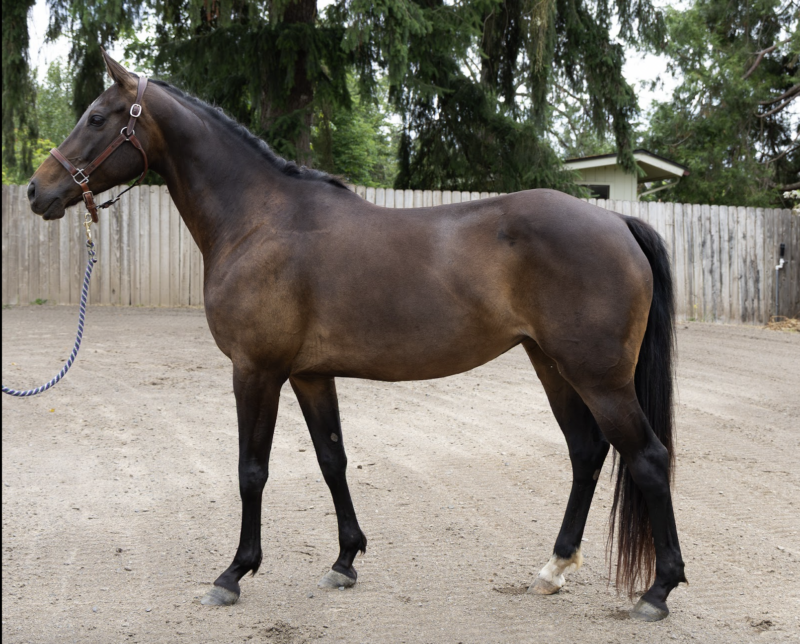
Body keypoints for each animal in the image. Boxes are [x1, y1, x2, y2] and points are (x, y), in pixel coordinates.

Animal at [26, 53, 686, 621]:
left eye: (97, 117)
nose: (37, 190)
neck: (259, 220)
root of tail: (616, 220)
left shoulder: (256, 370)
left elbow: (251, 469)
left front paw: (234, 573)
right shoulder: (310, 374)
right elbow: (332, 459)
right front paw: (345, 560)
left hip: (599, 378)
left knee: (648, 458)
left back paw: (658, 591)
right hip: (552, 365)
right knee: (586, 452)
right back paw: (553, 569)